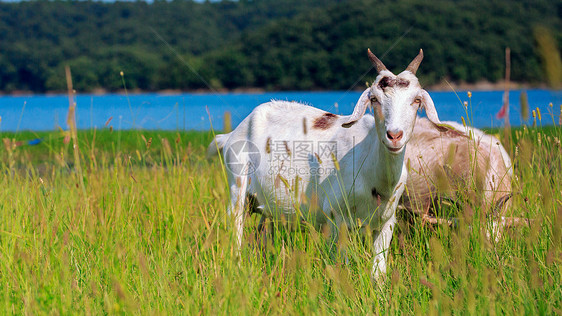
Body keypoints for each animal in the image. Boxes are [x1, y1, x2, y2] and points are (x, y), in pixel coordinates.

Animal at [208, 48, 440, 278]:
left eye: (416, 100)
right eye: (374, 99)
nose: (394, 135)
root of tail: (232, 133)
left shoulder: (387, 221)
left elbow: (378, 272)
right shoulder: (336, 217)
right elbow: (342, 265)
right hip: (237, 186)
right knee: (236, 228)